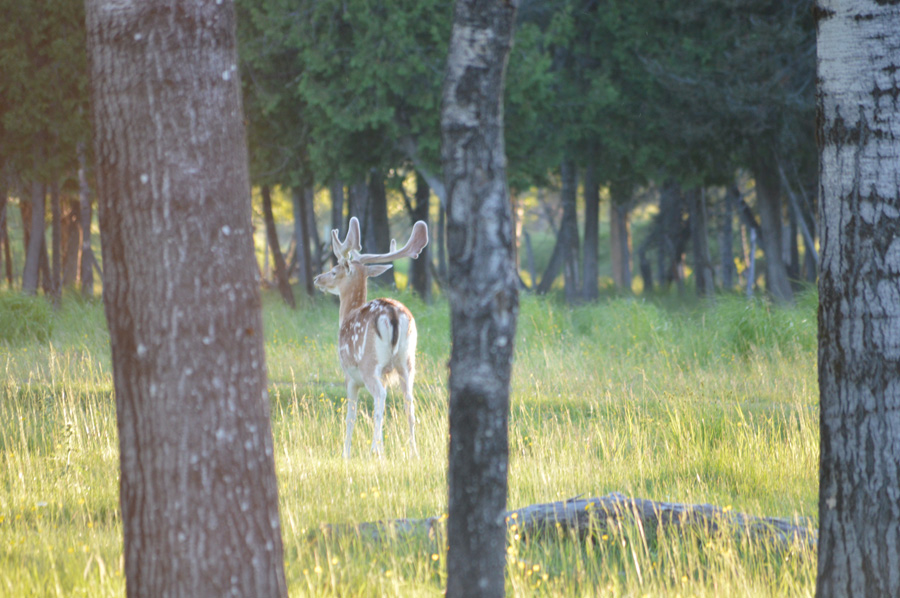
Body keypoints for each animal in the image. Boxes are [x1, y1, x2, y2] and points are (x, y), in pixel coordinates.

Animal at [314, 216, 428, 458]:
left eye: (334, 270)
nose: (318, 278)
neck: (346, 314)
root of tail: (392, 314)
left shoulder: (349, 374)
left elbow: (350, 414)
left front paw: (345, 454)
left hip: (369, 363)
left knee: (381, 396)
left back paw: (375, 450)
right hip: (407, 362)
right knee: (409, 401)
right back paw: (413, 451)